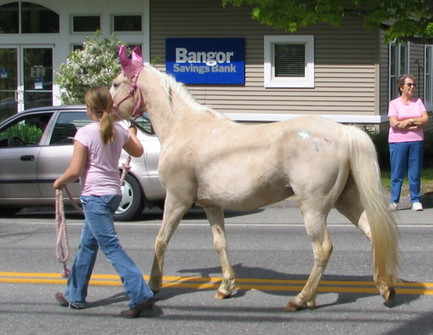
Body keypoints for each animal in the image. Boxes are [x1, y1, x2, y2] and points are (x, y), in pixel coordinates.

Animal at [110, 59, 398, 312]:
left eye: (115, 83)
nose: (104, 111)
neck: (184, 128)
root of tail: (344, 132)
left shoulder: (177, 199)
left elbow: (161, 240)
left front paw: (154, 287)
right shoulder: (211, 205)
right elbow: (220, 243)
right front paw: (226, 287)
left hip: (314, 209)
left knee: (323, 249)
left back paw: (301, 299)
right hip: (345, 201)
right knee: (372, 233)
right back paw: (383, 289)